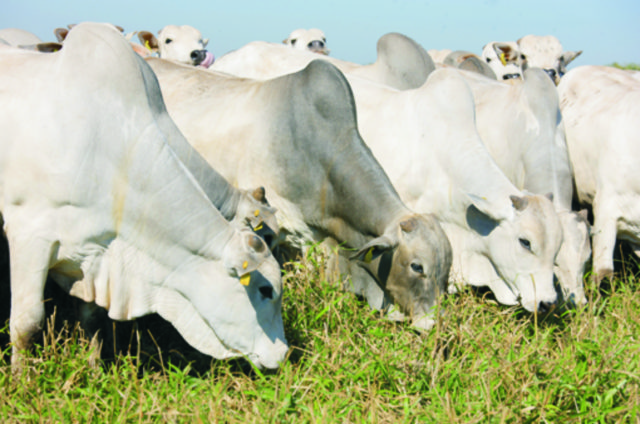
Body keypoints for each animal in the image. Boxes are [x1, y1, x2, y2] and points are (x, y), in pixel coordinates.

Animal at [0, 22, 288, 368]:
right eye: (265, 290)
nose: (284, 355)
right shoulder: (29, 236)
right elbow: (27, 323)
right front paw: (22, 377)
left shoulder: (97, 252)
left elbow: (92, 318)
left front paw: (94, 367)